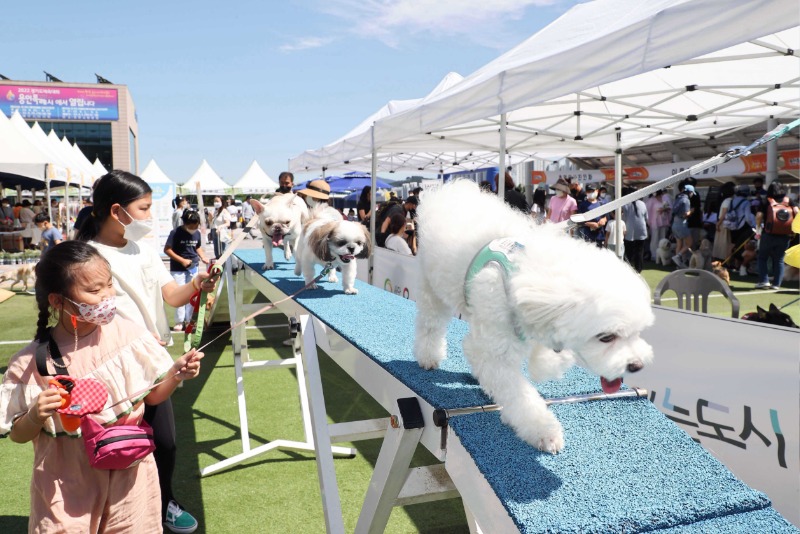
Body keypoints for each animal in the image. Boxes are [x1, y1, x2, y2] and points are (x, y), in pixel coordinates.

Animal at [416, 182, 652, 454]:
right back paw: (428, 356)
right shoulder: (495, 346)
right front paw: (543, 431)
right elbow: (520, 396)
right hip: (432, 287)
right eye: (606, 337)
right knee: (430, 324)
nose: (637, 365)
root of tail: (449, 188)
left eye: (637, 333)